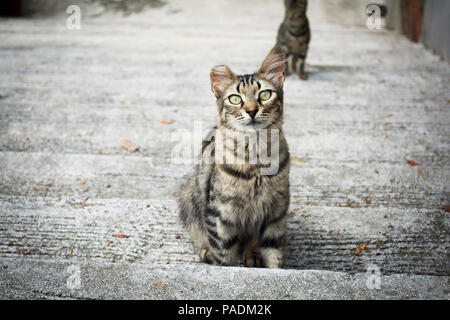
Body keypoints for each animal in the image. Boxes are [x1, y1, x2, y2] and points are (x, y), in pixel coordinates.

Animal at [179, 47, 292, 268]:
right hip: (189, 198)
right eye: (235, 99)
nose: (252, 111)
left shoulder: (275, 212)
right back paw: (206, 253)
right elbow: (224, 256)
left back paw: (252, 254)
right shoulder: (219, 215)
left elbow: (275, 256)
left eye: (265, 94)